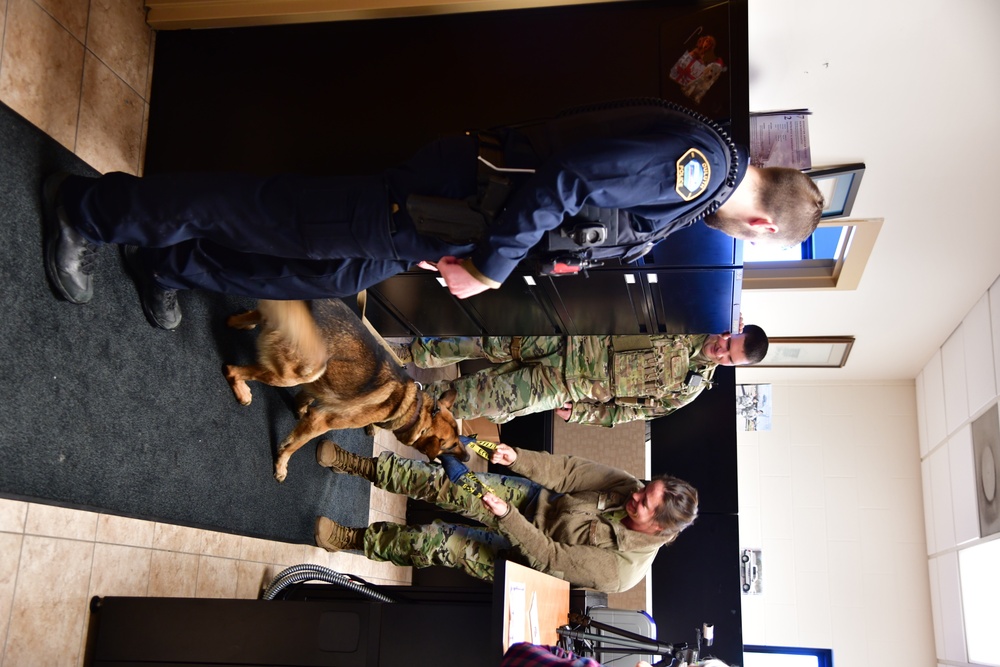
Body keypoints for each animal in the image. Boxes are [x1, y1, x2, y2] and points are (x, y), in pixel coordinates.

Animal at [223, 300, 464, 482]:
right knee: (232, 371)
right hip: (295, 374)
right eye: (451, 445)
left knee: (238, 321)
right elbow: (294, 446)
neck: (413, 407)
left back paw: (241, 323)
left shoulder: (321, 396)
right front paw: (281, 465)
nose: (468, 458)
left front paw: (299, 409)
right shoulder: (320, 421)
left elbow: (304, 406)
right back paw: (242, 392)